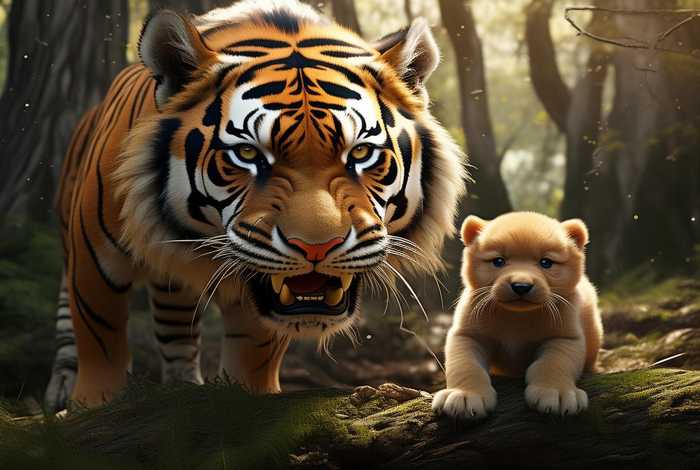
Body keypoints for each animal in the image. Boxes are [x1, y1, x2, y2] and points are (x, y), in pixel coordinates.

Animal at [44, 0, 465, 410]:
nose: (317, 248)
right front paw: (93, 405)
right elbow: (100, 338)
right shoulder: (95, 261)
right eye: (248, 154)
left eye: (360, 153)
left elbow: (253, 352)